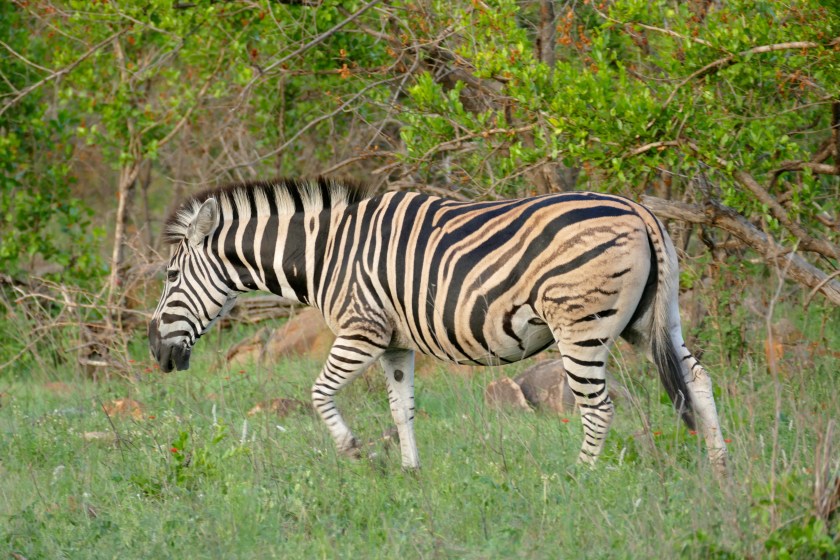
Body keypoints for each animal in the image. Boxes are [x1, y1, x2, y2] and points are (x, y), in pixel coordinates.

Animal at [148, 178, 728, 474]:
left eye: (172, 276)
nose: (156, 352)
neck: (324, 253)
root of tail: (638, 209)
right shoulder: (394, 344)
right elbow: (401, 408)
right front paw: (411, 472)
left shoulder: (361, 330)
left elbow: (318, 394)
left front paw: (354, 451)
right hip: (649, 319)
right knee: (698, 378)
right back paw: (720, 466)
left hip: (580, 324)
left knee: (599, 407)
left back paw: (579, 477)